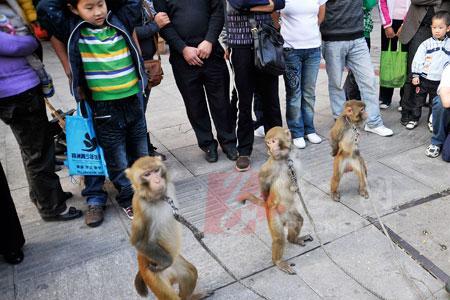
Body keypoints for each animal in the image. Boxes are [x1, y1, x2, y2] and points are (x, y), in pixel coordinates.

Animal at [125, 157, 209, 300]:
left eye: (156, 170)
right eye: (147, 174)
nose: (157, 180)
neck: (158, 198)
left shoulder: (169, 188)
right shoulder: (140, 206)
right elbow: (138, 241)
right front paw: (165, 263)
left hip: (175, 262)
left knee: (189, 273)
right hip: (152, 273)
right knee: (169, 296)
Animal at [239, 126, 312, 274]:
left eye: (273, 141)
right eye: (268, 142)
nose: (271, 148)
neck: (284, 159)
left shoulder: (294, 157)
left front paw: (295, 187)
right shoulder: (270, 165)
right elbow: (262, 180)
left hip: (289, 212)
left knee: (298, 220)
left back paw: (293, 239)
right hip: (273, 213)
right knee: (279, 238)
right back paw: (278, 261)